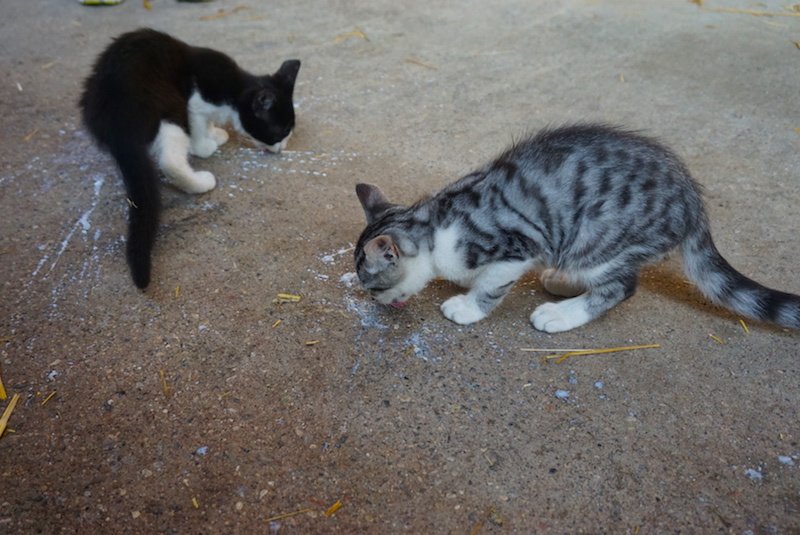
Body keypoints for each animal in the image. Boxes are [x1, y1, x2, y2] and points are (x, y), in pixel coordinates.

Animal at [80, 29, 300, 288]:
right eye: (280, 133)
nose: (281, 149)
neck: (233, 89)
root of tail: (116, 110)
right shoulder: (195, 103)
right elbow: (199, 127)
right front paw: (205, 144)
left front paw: (215, 133)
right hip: (171, 103)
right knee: (170, 160)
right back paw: (200, 182)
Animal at [354, 126, 800, 336]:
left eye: (373, 286)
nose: (378, 304)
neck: (436, 222)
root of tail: (692, 200)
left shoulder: (516, 246)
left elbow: (491, 285)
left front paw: (468, 306)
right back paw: (561, 281)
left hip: (600, 238)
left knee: (621, 286)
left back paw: (561, 313)